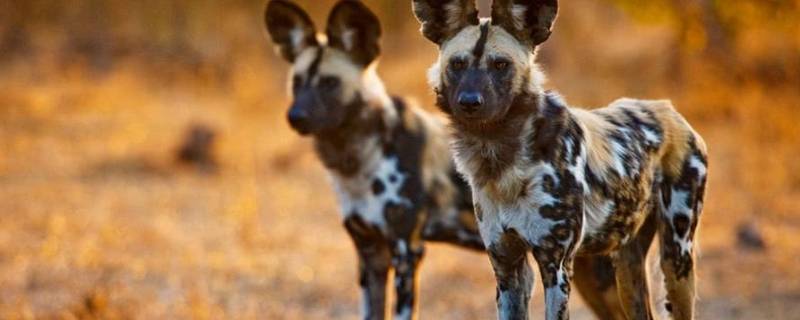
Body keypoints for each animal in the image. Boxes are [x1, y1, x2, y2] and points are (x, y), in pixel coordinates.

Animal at [266, 0, 628, 320]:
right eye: (297, 83)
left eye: (330, 83)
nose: (295, 117)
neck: (359, 157)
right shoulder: (370, 254)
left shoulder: (406, 251)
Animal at [412, 0, 708, 320]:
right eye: (457, 64)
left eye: (501, 65)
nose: (469, 102)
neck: (501, 160)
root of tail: (668, 109)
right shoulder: (507, 268)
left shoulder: (556, 267)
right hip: (626, 266)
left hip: (676, 258)